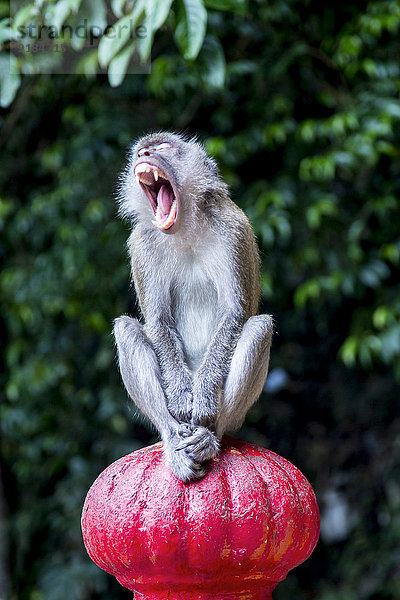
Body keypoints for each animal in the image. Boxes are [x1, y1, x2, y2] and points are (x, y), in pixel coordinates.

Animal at [114, 132, 274, 482]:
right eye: (141, 151)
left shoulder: (233, 231)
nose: (144, 154)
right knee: (126, 328)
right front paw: (179, 396)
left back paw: (209, 437)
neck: (185, 226)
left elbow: (235, 315)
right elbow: (158, 320)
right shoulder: (142, 242)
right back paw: (172, 438)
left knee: (259, 327)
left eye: (161, 147)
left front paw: (202, 400)